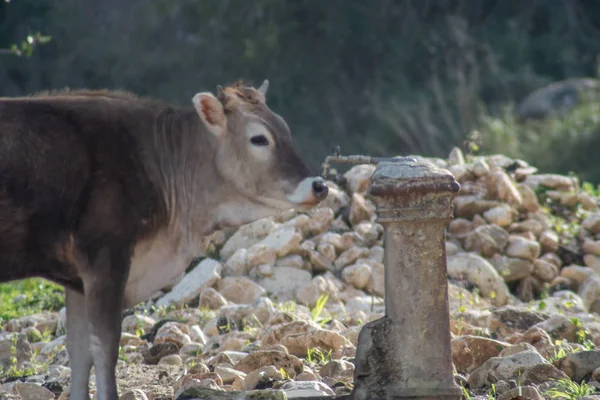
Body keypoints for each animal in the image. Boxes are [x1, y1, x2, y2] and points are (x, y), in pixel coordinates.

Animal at [0, 80, 328, 400]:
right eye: (259, 138)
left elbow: (79, 352)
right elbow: (104, 346)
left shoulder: (78, 279)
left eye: (285, 128)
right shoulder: (106, 256)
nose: (319, 186)